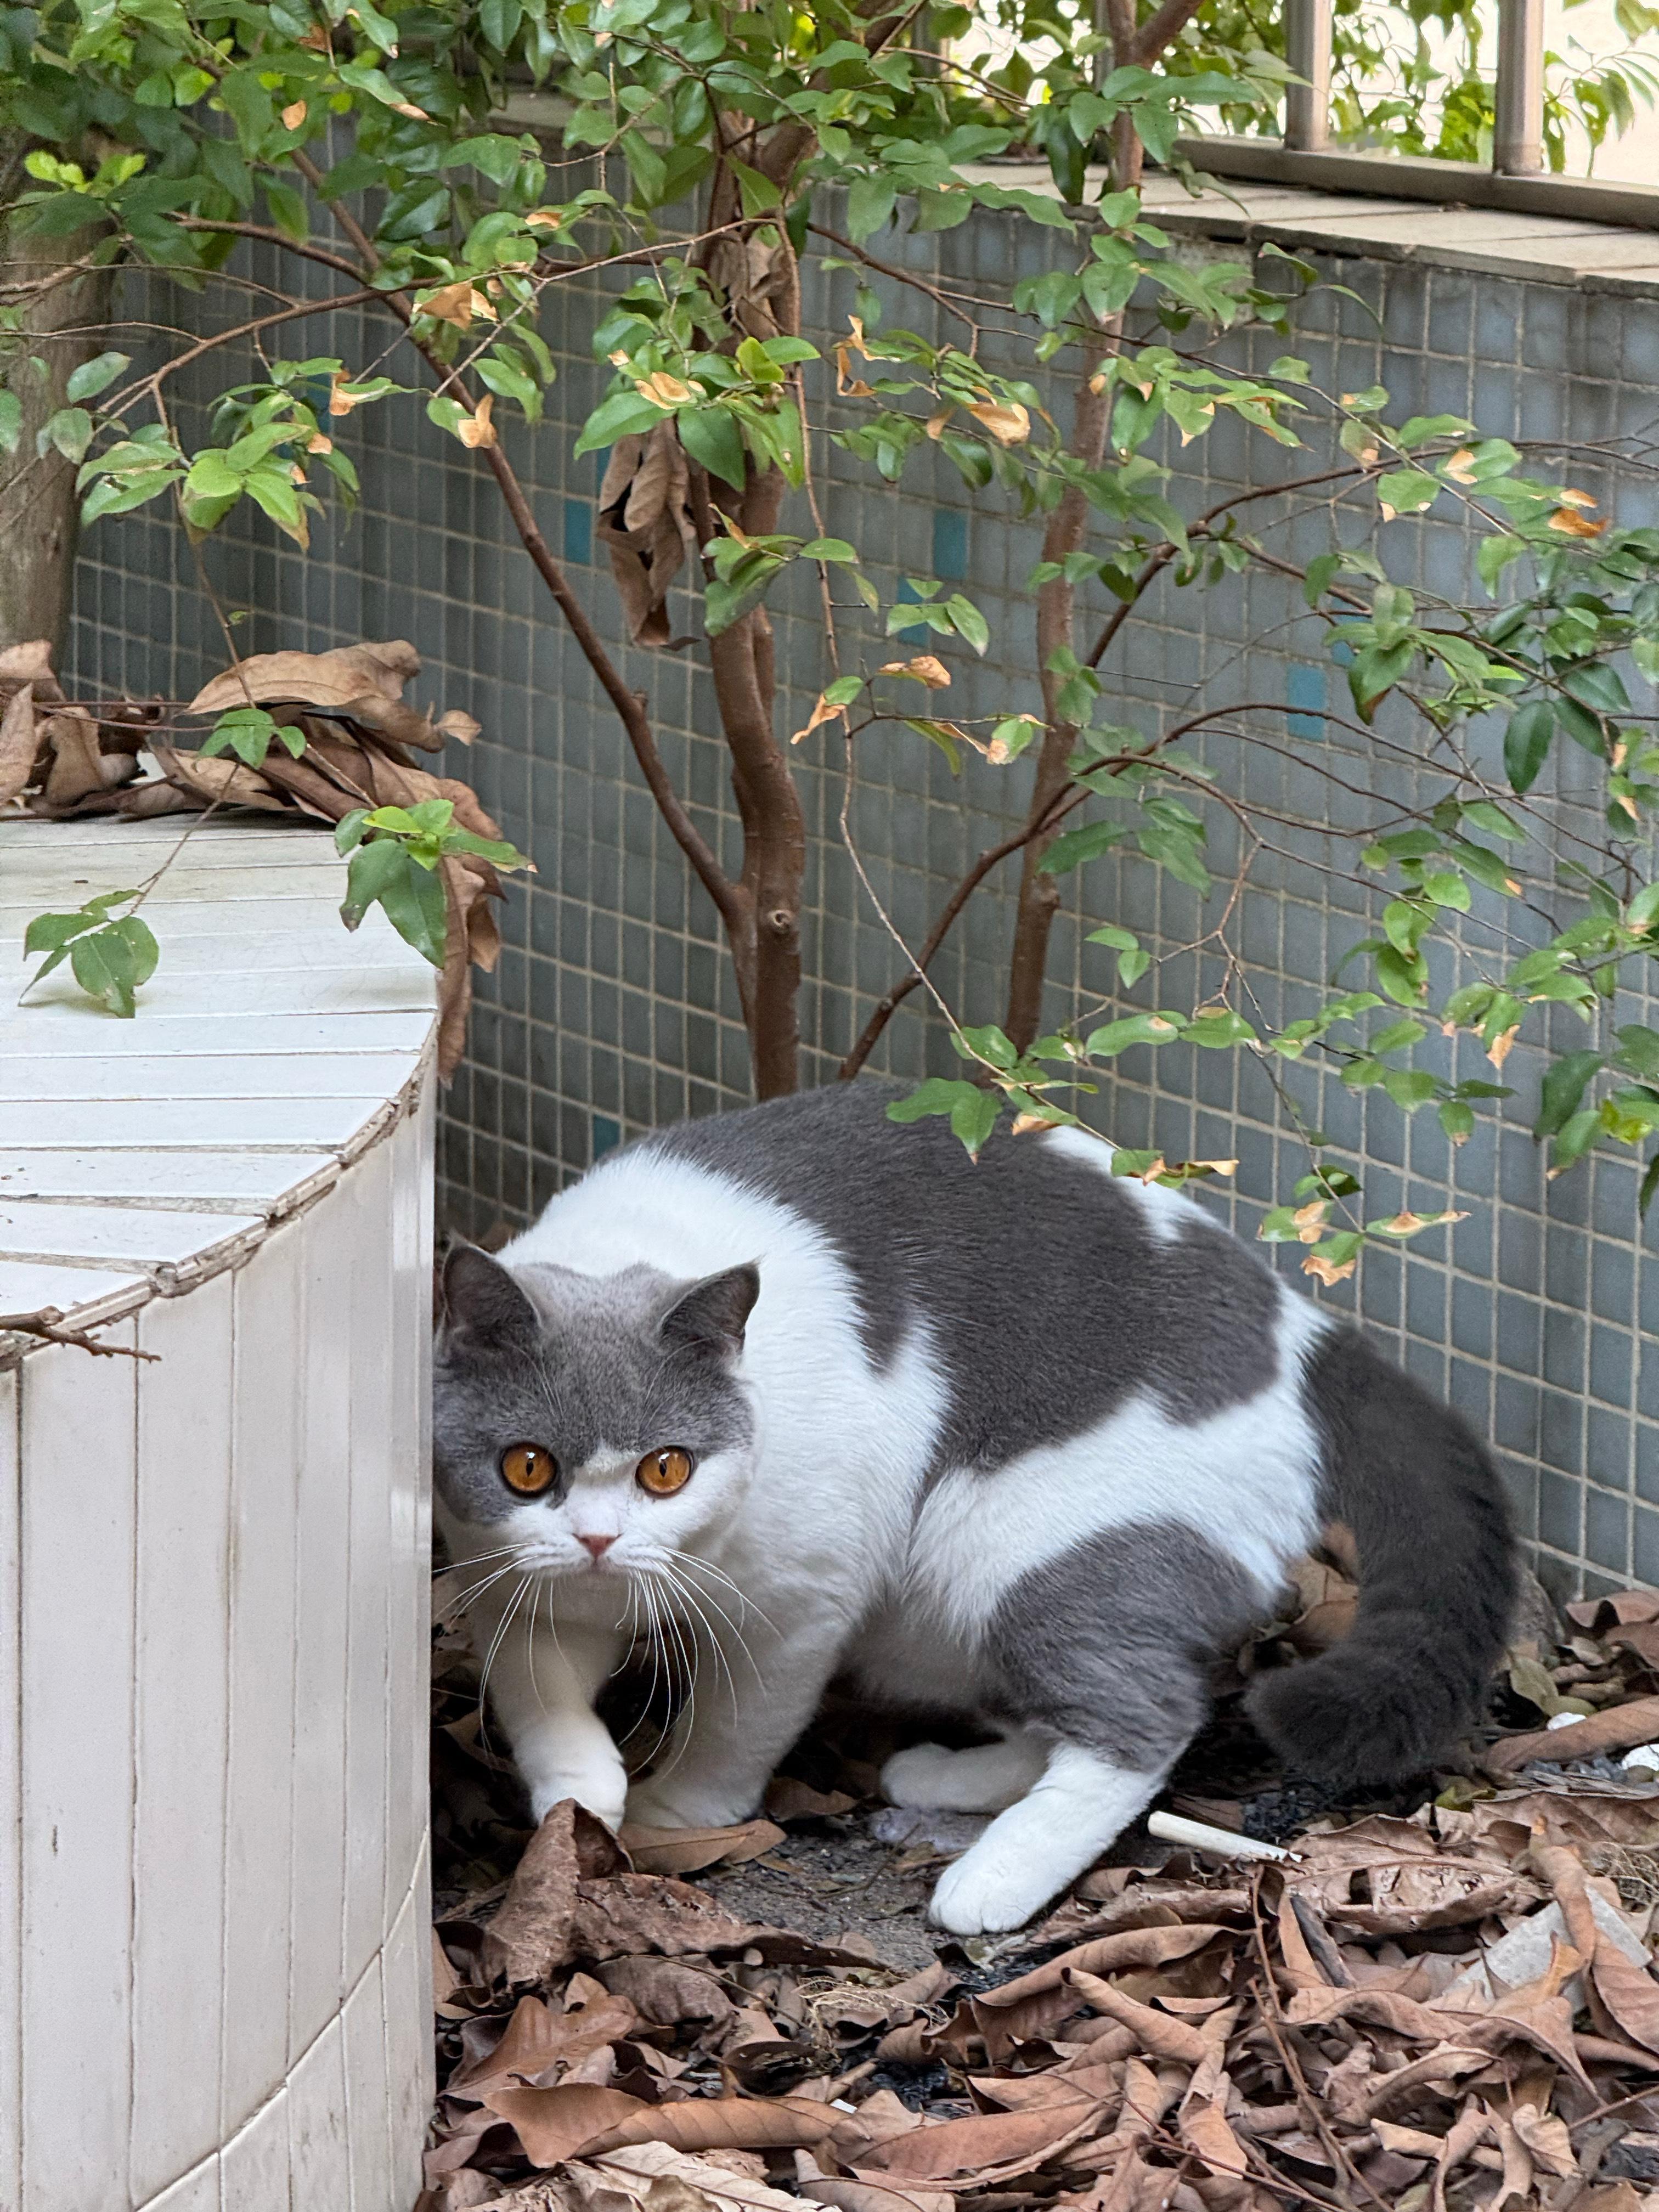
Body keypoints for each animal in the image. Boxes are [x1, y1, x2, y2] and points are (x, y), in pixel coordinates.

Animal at [438, 1079, 1522, 1928]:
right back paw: (938, 1777)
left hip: (1015, 1553)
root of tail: (1306, 1334)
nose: (597, 1538)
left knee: (1141, 1720)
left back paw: (991, 1879)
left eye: (667, 1468)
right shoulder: (504, 1572)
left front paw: (677, 1811)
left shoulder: (801, 1600)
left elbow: (735, 1723)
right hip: (941, 1617)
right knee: (1048, 1720)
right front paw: (580, 1793)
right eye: (527, 1468)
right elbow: (533, 1682)